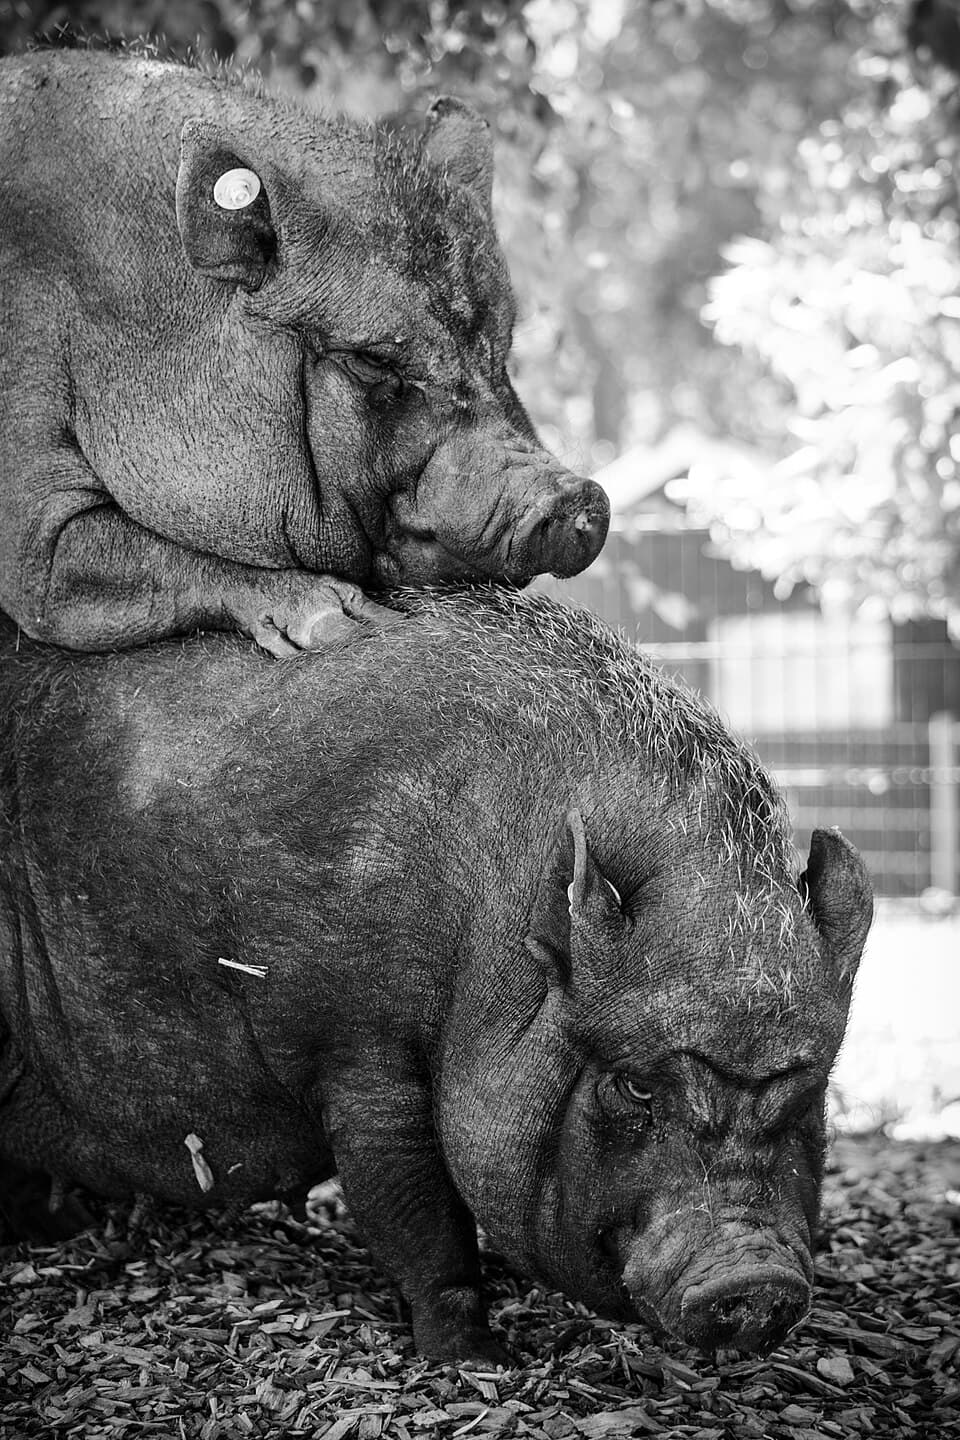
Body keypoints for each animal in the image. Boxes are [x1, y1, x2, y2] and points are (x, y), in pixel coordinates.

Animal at [0, 48, 608, 656]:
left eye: (501, 350)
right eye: (372, 360)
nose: (581, 497)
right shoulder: (29, 501)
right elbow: (71, 571)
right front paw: (347, 625)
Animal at [0, 589, 872, 1361]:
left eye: (811, 1087)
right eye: (633, 1085)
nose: (756, 1280)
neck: (491, 920)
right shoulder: (358, 1057)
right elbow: (419, 1219)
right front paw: (481, 1359)